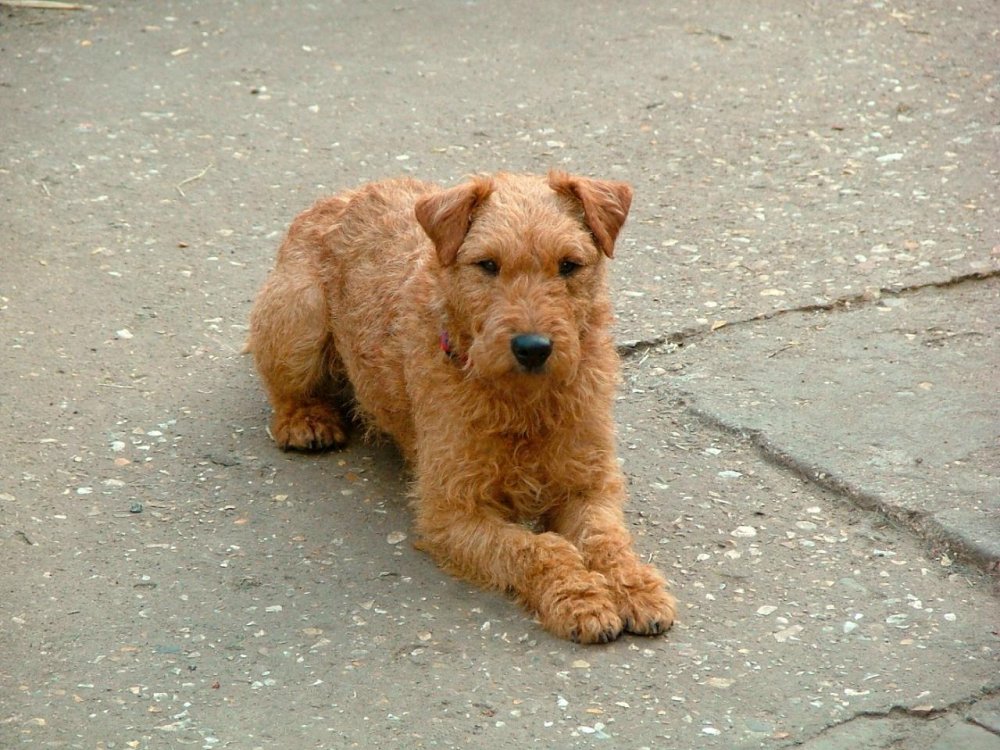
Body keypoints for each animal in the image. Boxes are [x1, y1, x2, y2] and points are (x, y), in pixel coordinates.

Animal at [246, 172, 676, 648]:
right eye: (487, 264)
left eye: (569, 265)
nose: (533, 348)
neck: (524, 404)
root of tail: (341, 196)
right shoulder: (452, 510)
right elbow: (540, 548)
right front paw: (580, 598)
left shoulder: (590, 485)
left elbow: (606, 540)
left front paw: (635, 587)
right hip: (299, 319)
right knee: (282, 385)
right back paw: (305, 419)